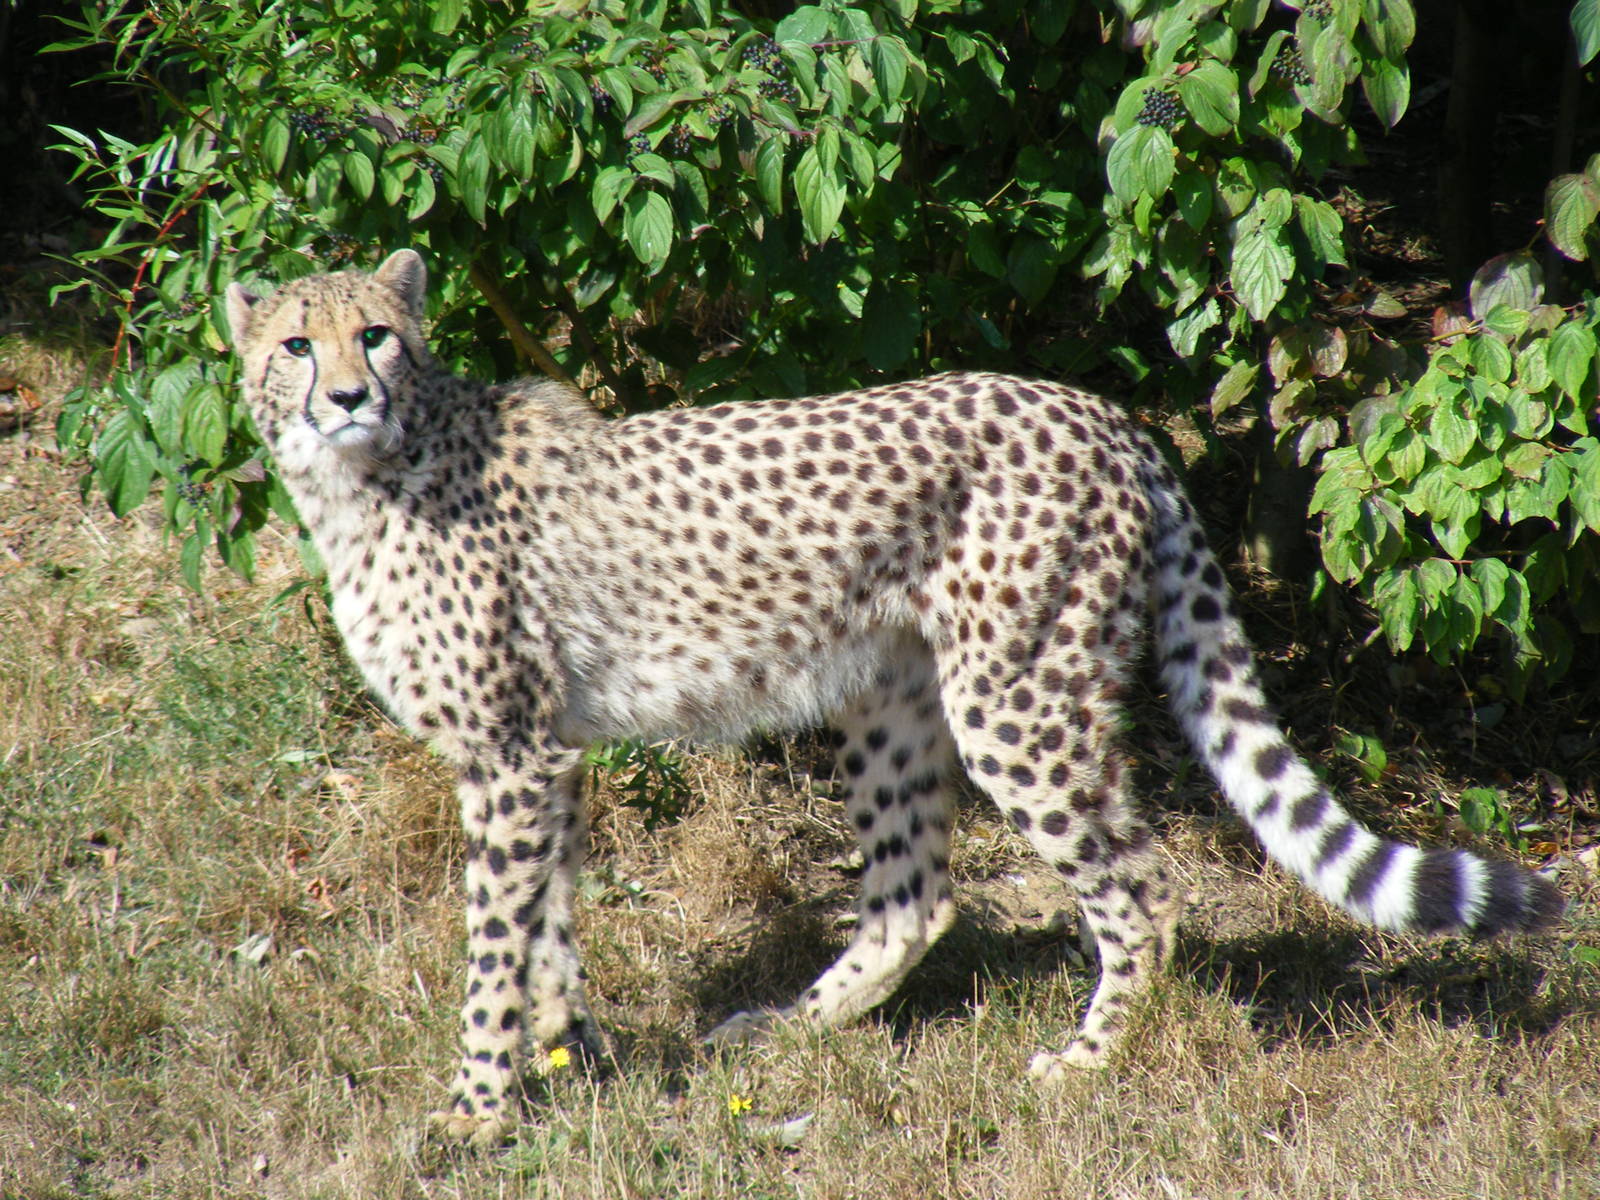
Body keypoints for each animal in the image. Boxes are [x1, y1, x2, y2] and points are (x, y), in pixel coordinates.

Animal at [224, 249, 1563, 1147]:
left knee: (1140, 886)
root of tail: (1100, 412)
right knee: (916, 892)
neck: (374, 474)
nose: (344, 396)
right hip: (888, 699)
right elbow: (544, 922)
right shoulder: (538, 750)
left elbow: (494, 940)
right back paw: (794, 1028)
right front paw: (571, 1058)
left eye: (377, 335)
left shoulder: (509, 754)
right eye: (296, 345)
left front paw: (476, 1108)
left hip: (1017, 698)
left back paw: (1086, 1061)